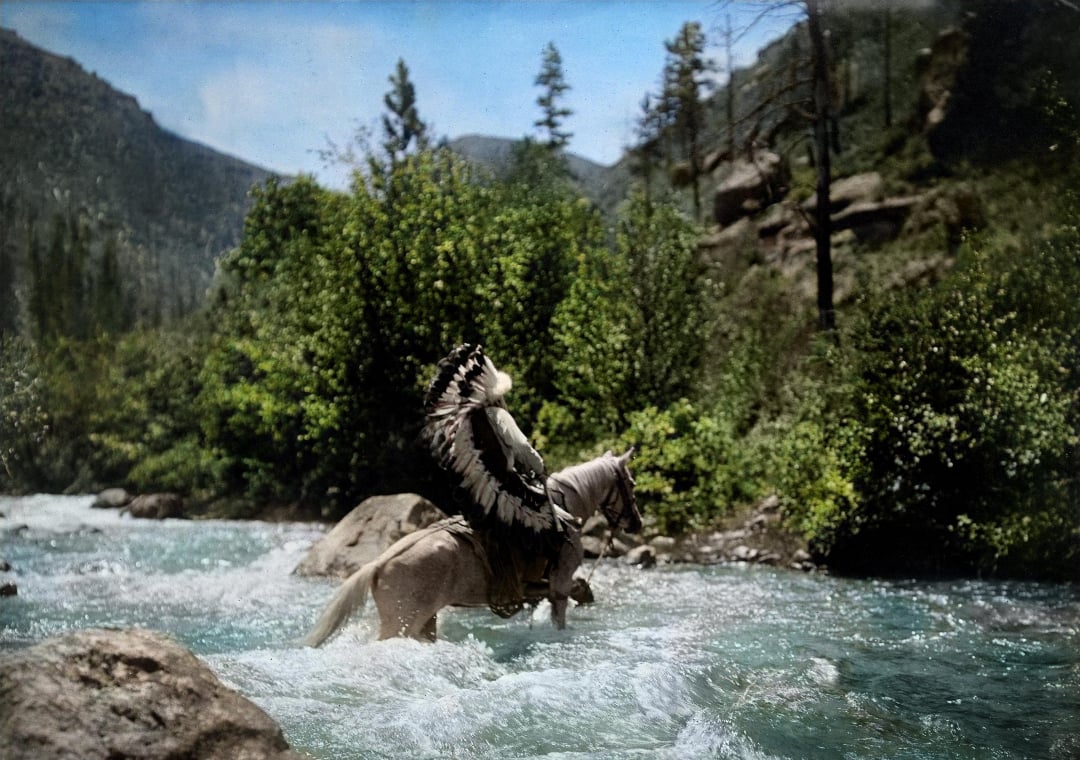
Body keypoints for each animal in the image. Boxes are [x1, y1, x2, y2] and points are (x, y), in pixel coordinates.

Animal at [303, 449, 641, 645]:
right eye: (631, 483)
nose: (636, 523)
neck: (564, 510)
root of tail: (379, 564)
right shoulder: (559, 583)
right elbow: (563, 608)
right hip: (402, 623)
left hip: (425, 620)